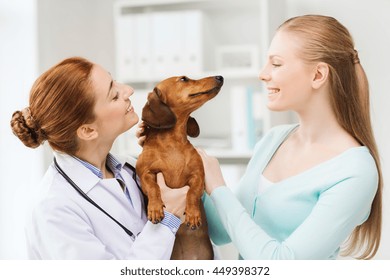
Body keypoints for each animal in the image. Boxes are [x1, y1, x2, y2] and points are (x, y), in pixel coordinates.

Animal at [136, 74, 222, 258]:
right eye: (183, 79)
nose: (220, 77)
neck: (173, 144)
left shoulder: (198, 175)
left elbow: (192, 193)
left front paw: (193, 215)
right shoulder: (146, 173)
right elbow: (153, 188)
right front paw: (155, 209)